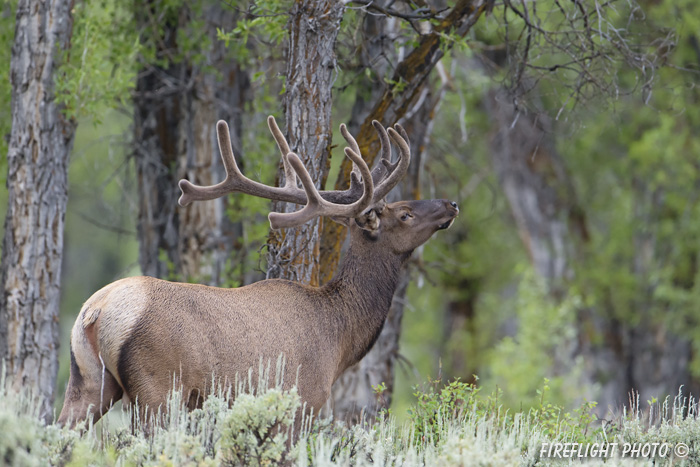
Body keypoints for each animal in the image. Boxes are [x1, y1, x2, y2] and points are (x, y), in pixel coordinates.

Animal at [57, 116, 456, 428]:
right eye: (404, 213)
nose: (451, 203)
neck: (340, 335)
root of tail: (95, 311)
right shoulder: (303, 399)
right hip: (156, 388)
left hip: (86, 382)